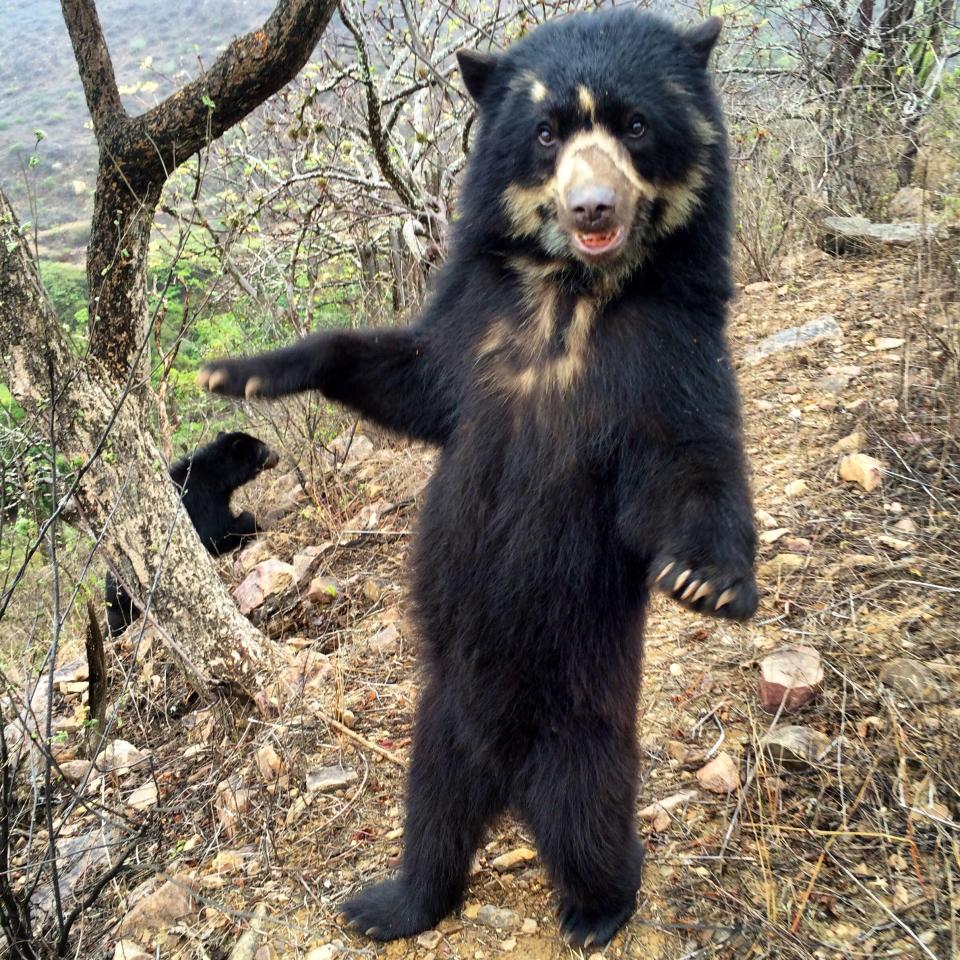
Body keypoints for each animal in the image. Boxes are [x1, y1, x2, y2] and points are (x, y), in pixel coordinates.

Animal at [105, 432, 278, 632]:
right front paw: (253, 523)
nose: (277, 456)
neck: (217, 476)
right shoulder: (202, 499)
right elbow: (214, 534)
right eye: (262, 448)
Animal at [201, 9, 756, 944]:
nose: (592, 207)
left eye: (635, 125)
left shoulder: (669, 350)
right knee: (429, 823)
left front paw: (709, 582)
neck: (569, 297)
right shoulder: (474, 327)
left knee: (593, 824)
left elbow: (688, 461)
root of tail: (508, 777)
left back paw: (598, 911)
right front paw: (241, 373)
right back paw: (387, 904)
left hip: (583, 733)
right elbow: (410, 378)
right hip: (436, 730)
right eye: (546, 132)